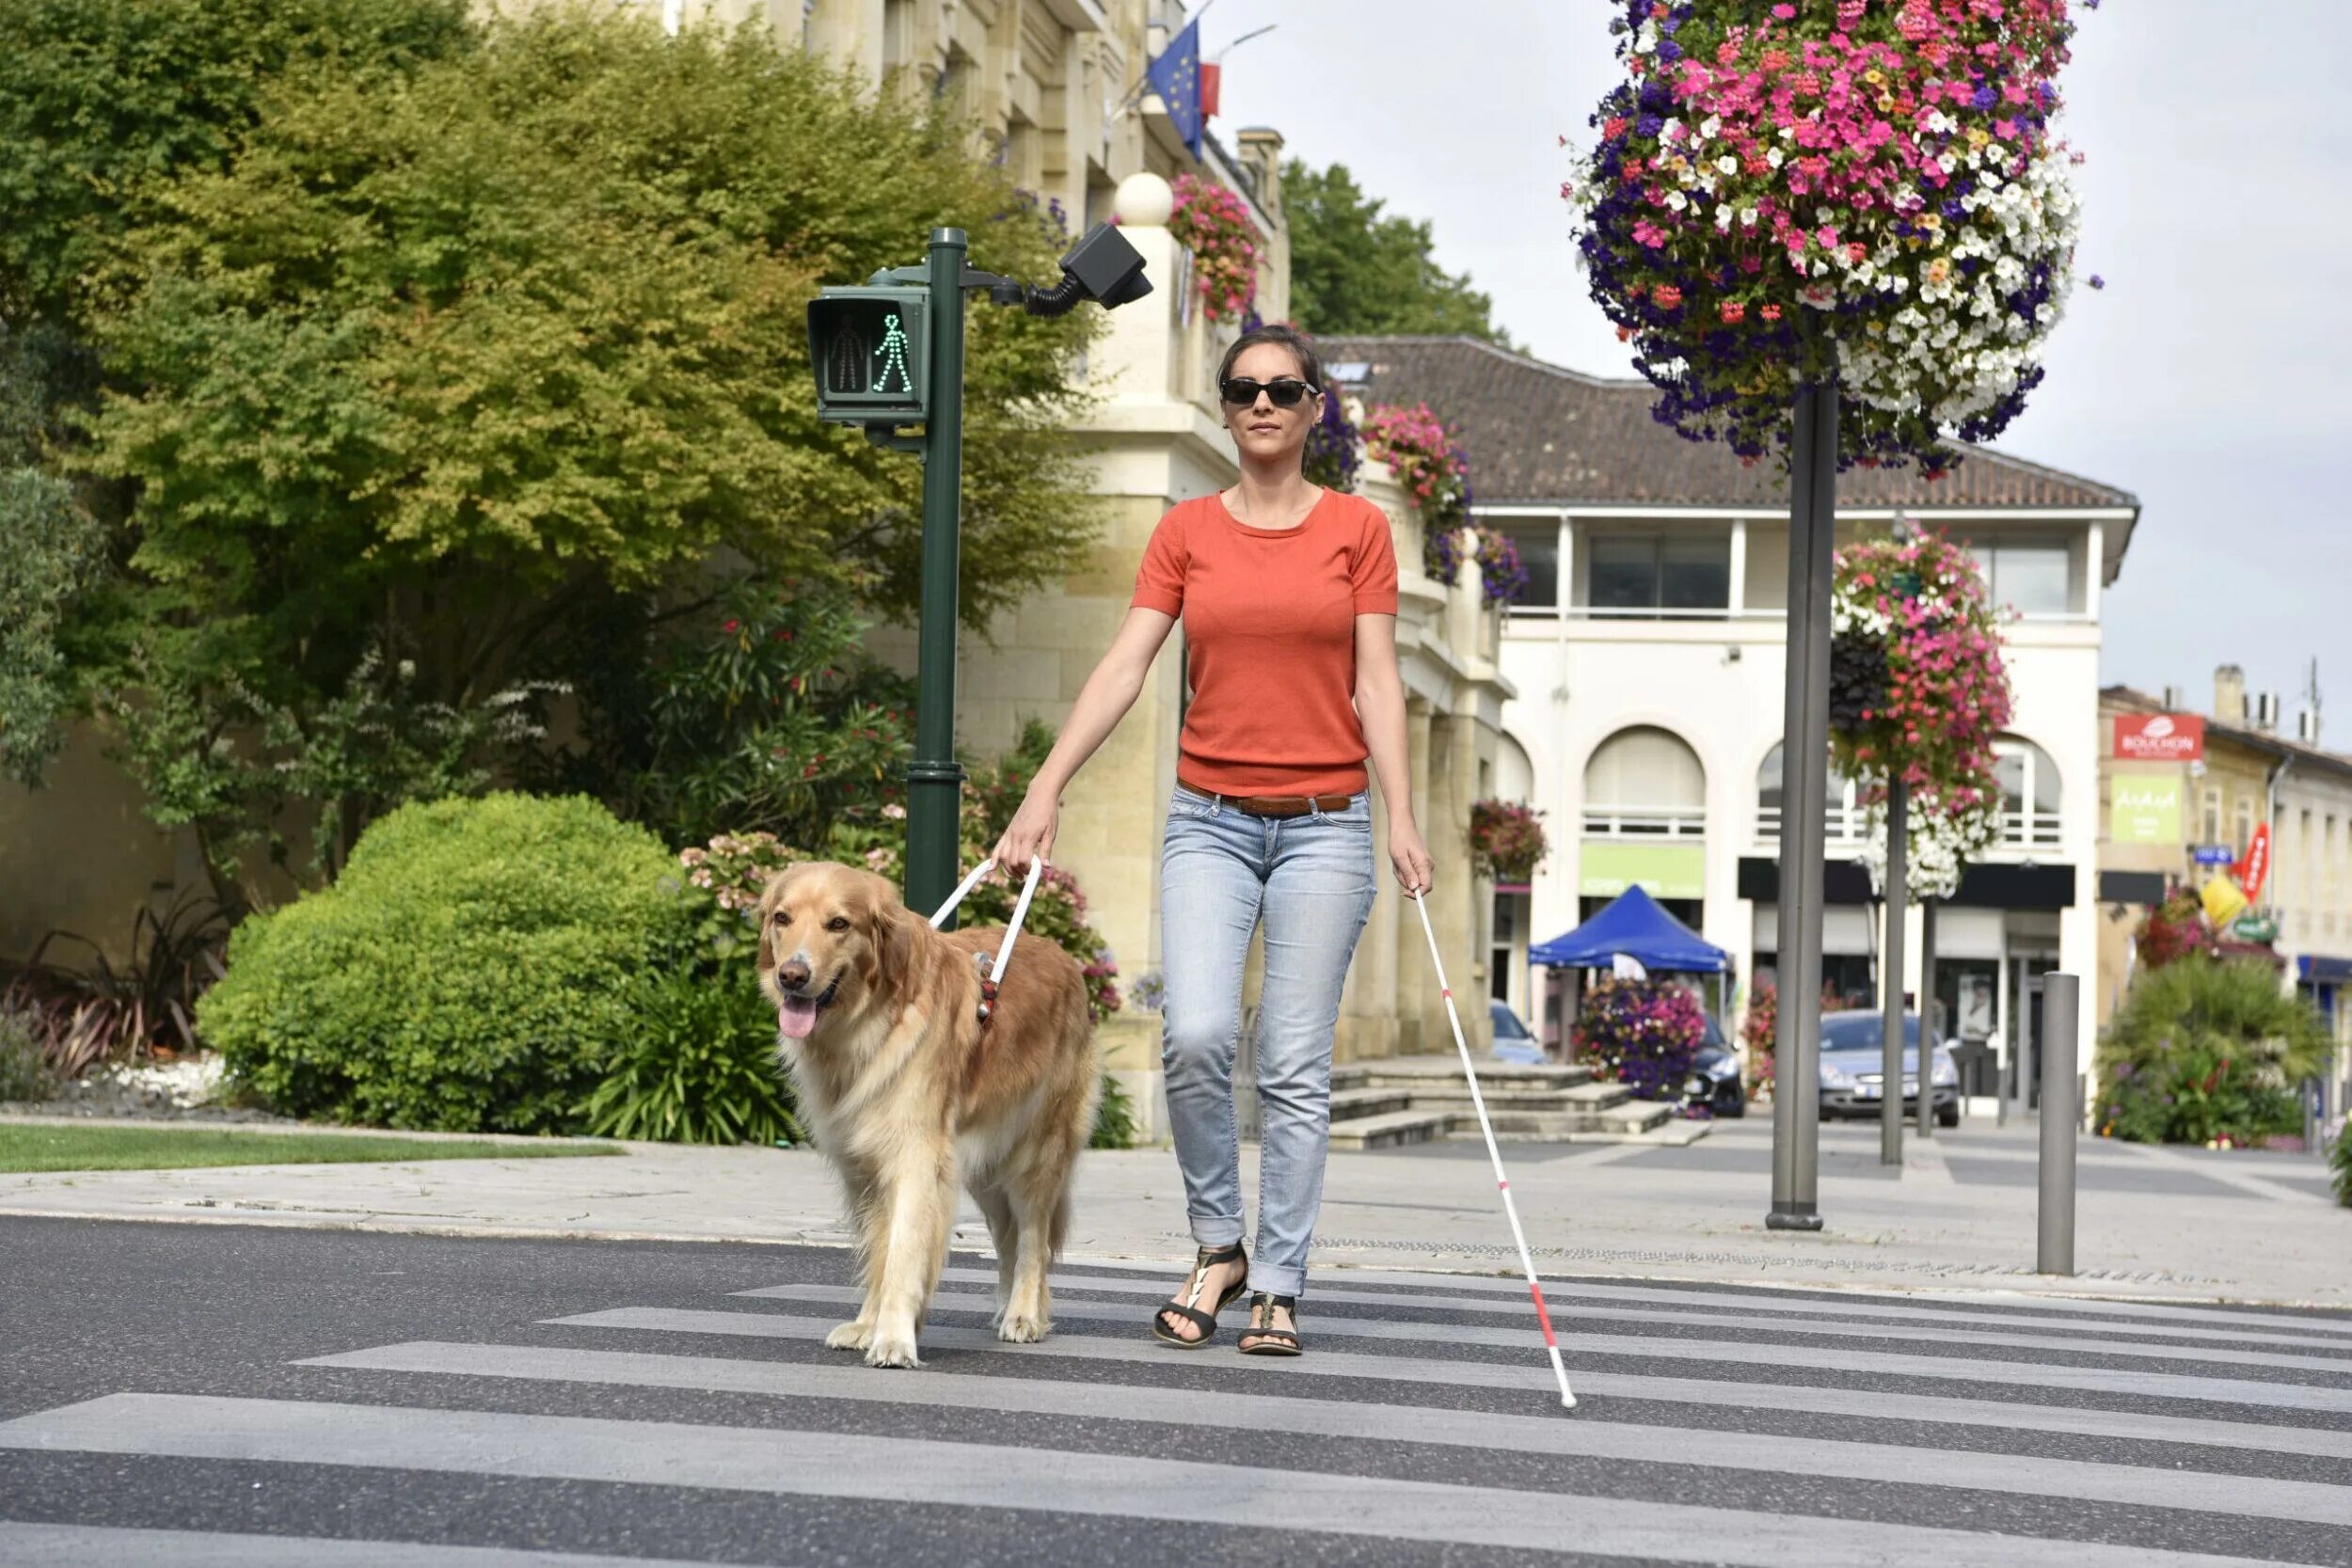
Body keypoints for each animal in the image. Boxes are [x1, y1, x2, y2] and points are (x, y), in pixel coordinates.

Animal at [753, 864, 1101, 1363]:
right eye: (783, 918)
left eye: (839, 924)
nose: (792, 976)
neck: (870, 1023)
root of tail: (1067, 960)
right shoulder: (865, 1168)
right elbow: (879, 1253)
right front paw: (868, 1325)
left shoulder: (916, 1157)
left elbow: (903, 1253)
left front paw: (894, 1338)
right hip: (983, 1166)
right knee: (1007, 1238)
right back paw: (1004, 1308)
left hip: (1036, 1153)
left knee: (1032, 1240)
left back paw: (1023, 1316)